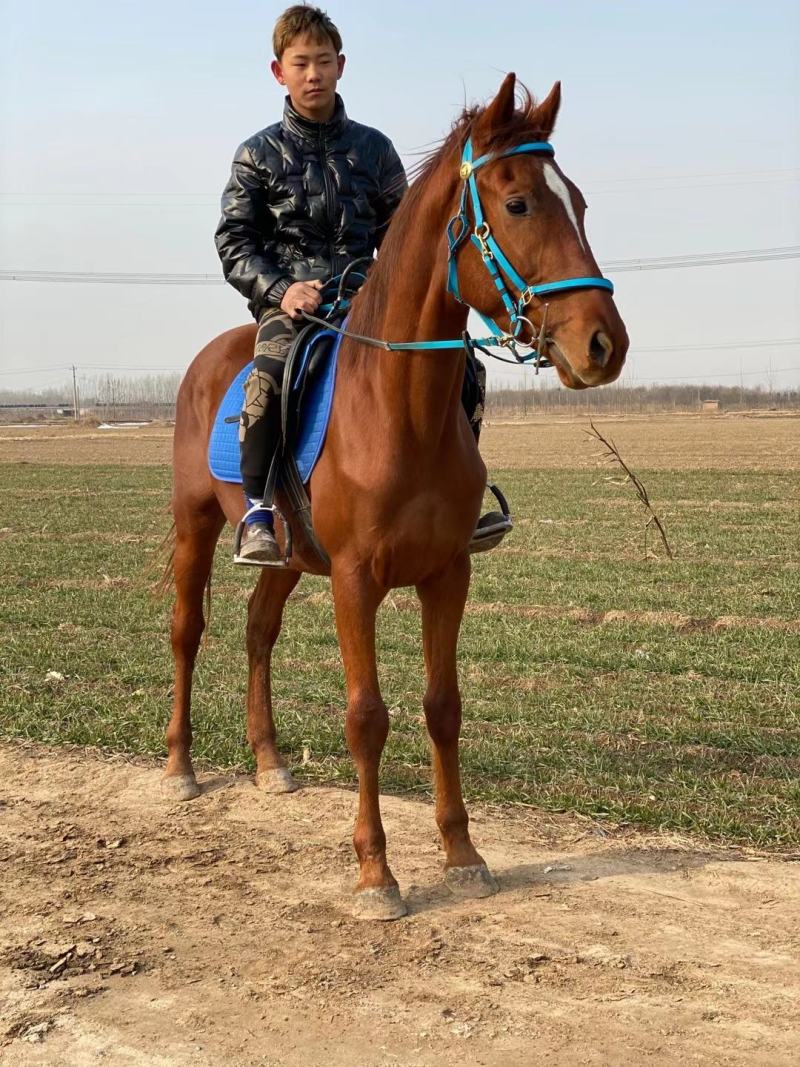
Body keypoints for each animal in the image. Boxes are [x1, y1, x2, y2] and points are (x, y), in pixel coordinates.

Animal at [163, 74, 628, 920]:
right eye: (519, 204)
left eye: (576, 201)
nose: (604, 344)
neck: (397, 407)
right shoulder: (355, 581)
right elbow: (366, 716)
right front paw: (376, 872)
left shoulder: (448, 574)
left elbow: (443, 706)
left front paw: (462, 853)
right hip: (195, 526)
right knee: (189, 630)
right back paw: (179, 767)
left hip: (287, 555)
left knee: (257, 632)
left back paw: (270, 762)